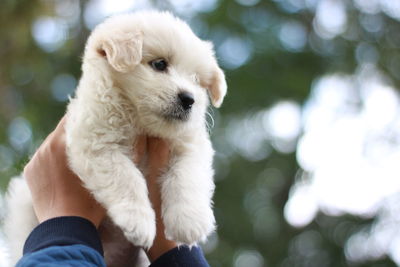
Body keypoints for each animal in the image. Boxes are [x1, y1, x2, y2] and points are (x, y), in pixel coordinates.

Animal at [3, 9, 227, 266]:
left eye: (197, 81)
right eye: (160, 64)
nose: (189, 99)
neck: (140, 123)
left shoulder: (191, 147)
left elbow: (186, 176)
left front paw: (189, 222)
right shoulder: (97, 143)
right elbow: (127, 178)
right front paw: (138, 220)